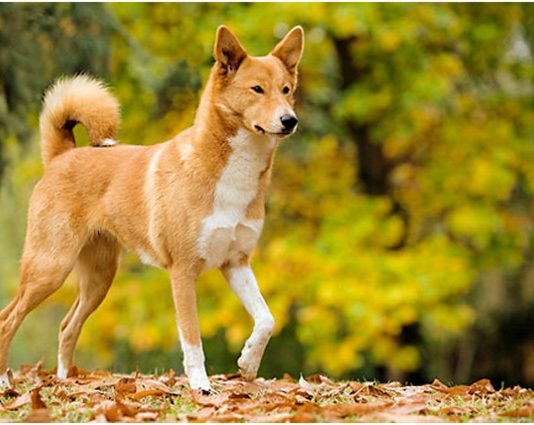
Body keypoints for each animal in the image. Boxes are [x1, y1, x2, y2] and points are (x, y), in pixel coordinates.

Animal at [0, 25, 304, 390]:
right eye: (257, 89)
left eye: (286, 90)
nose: (290, 120)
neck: (228, 174)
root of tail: (62, 155)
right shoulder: (183, 272)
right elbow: (192, 338)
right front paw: (201, 386)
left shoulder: (236, 263)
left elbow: (266, 319)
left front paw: (248, 363)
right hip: (50, 268)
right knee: (7, 320)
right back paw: (5, 381)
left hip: (99, 279)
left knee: (66, 326)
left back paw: (64, 381)